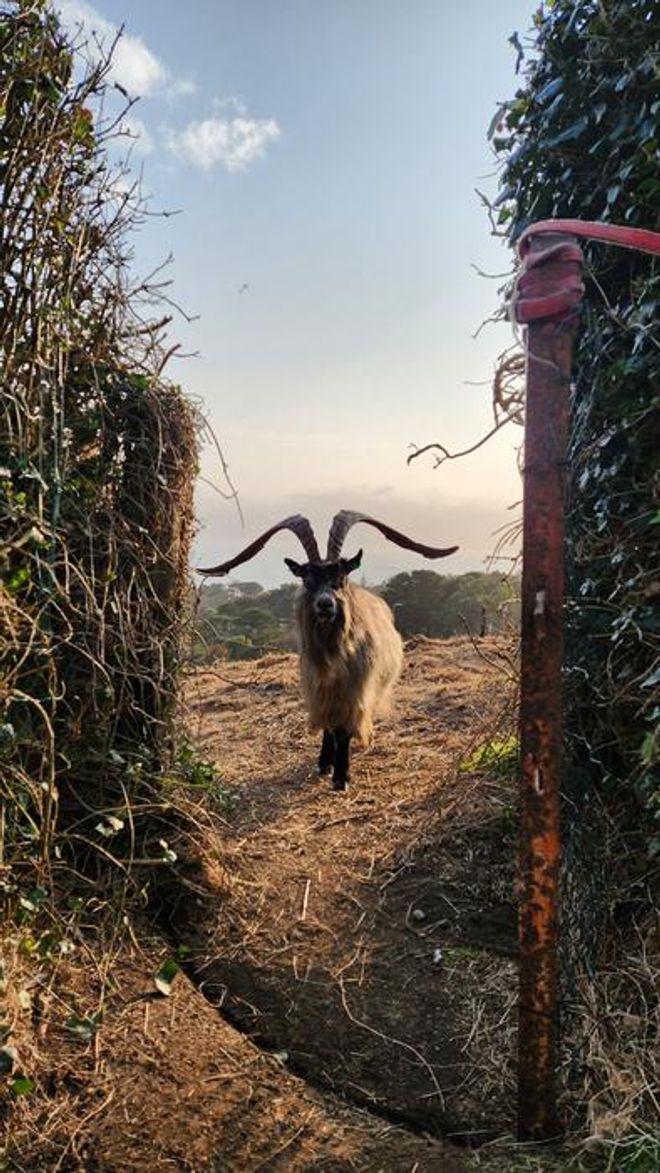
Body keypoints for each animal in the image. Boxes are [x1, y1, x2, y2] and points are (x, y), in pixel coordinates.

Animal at [199, 511, 458, 791]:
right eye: (307, 579)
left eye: (340, 579)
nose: (325, 604)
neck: (335, 654)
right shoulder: (319, 688)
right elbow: (329, 727)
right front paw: (326, 763)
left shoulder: (354, 689)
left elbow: (343, 731)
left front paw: (342, 776)